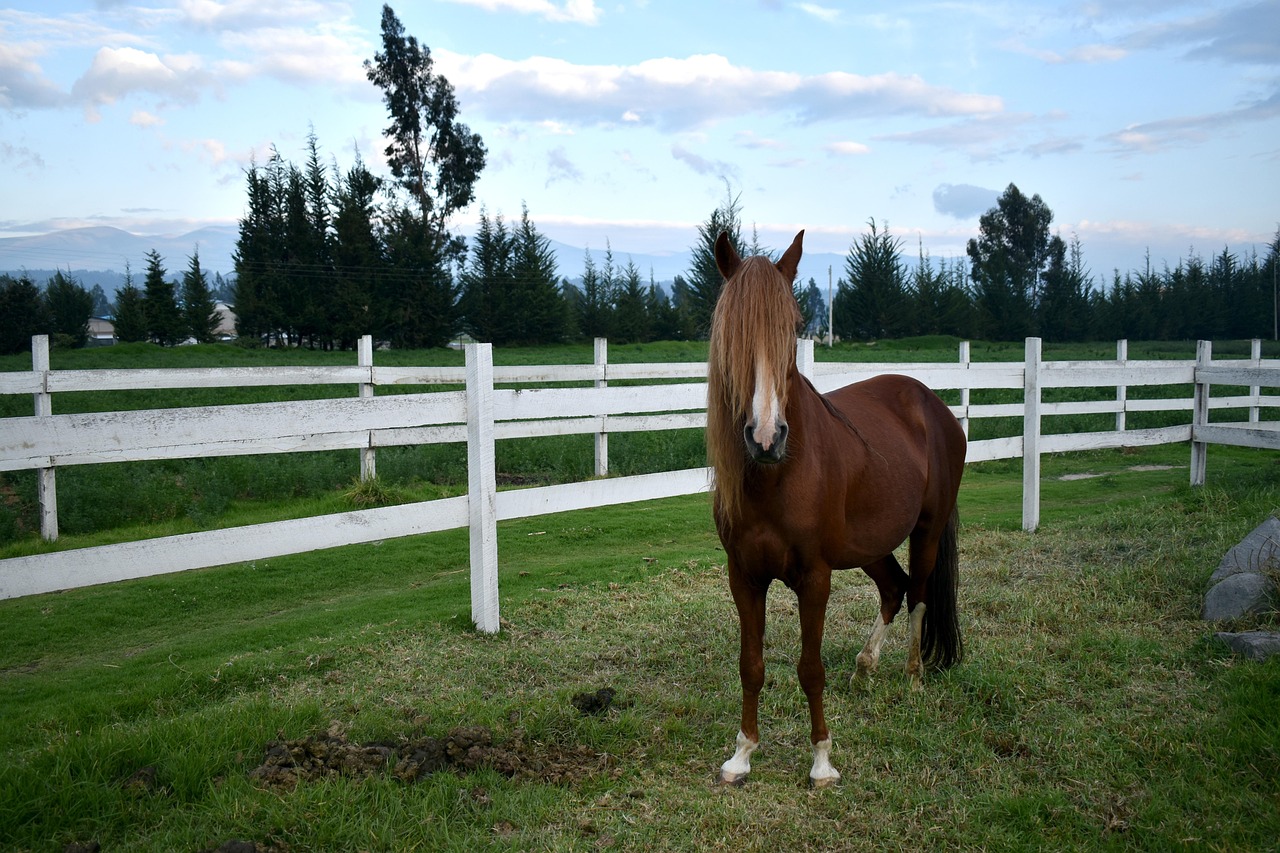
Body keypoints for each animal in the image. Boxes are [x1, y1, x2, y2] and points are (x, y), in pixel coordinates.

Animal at [706, 230, 966, 787]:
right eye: (732, 332)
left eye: (792, 329)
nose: (766, 437)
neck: (776, 477)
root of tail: (932, 403)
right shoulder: (743, 576)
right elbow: (751, 664)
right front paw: (742, 754)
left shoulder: (815, 576)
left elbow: (810, 669)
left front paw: (822, 761)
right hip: (868, 545)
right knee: (894, 588)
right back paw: (865, 667)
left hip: (927, 531)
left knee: (919, 596)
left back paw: (913, 678)